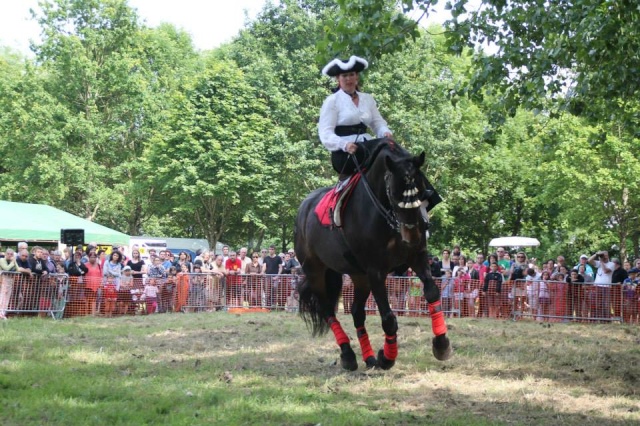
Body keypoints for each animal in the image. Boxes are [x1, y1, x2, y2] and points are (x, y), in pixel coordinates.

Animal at [294, 139, 450, 370]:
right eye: (394, 192)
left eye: (422, 189)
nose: (412, 233)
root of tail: (303, 209)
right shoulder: (376, 271)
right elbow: (389, 318)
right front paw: (387, 357)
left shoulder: (417, 257)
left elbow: (432, 292)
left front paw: (441, 344)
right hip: (316, 271)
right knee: (328, 310)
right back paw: (348, 354)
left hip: (359, 276)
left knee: (357, 312)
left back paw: (367, 357)